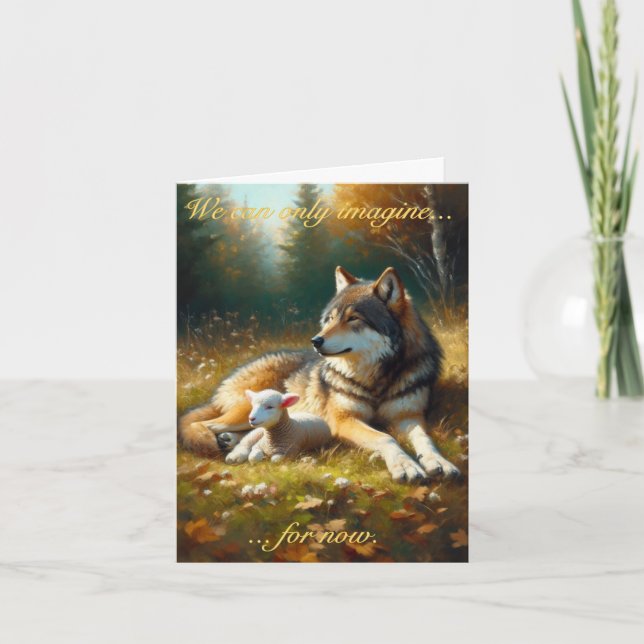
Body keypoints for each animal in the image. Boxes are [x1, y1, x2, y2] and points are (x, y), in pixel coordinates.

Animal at [179, 266, 460, 482]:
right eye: (332, 318)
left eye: (353, 318)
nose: (316, 340)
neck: (376, 378)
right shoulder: (343, 420)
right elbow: (386, 438)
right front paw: (406, 465)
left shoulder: (408, 415)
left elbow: (425, 439)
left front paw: (439, 462)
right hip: (244, 411)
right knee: (200, 425)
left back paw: (229, 440)